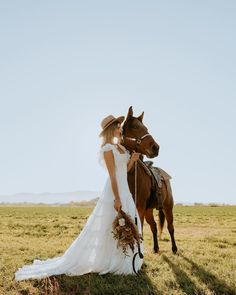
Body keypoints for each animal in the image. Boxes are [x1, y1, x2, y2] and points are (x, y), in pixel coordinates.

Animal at [121, 106, 177, 254]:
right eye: (135, 126)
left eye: (146, 128)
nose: (155, 147)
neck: (131, 176)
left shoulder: (139, 208)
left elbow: (138, 231)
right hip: (149, 210)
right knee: (154, 226)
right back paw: (156, 248)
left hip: (168, 207)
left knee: (170, 227)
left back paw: (174, 248)